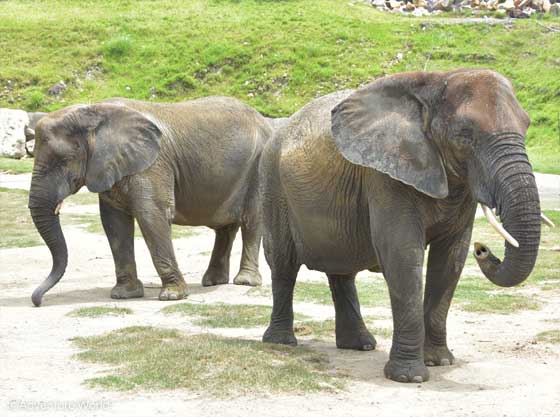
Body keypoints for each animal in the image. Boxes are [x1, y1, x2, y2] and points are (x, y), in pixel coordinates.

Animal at [260, 69, 548, 384]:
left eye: (527, 125)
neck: (436, 82)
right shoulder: (386, 176)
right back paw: (282, 342)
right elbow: (402, 254)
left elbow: (451, 259)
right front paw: (410, 378)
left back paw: (360, 345)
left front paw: (440, 362)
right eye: (464, 134)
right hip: (273, 186)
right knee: (284, 265)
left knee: (341, 269)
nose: (483, 250)